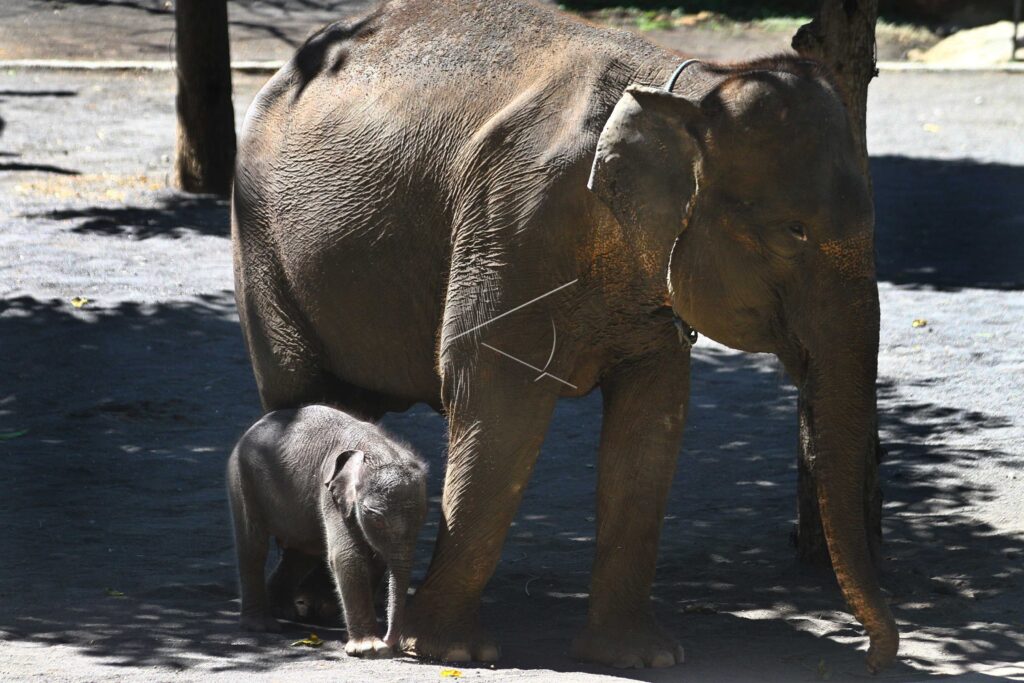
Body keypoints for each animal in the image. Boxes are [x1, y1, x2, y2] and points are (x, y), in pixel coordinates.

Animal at [226, 405, 428, 657]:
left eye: (423, 518)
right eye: (375, 517)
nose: (391, 643)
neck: (376, 447)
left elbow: (375, 561)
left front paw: (353, 640)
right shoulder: (329, 490)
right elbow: (346, 555)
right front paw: (369, 648)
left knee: (301, 553)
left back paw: (283, 611)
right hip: (242, 477)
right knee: (254, 547)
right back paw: (262, 625)